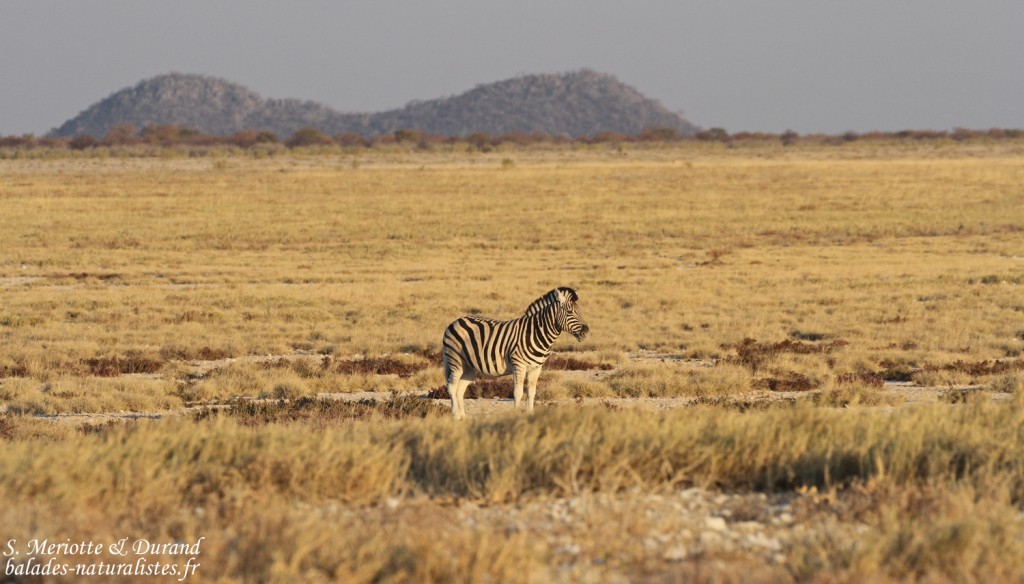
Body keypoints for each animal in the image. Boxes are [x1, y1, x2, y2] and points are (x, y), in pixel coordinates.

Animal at [442, 287, 589, 420]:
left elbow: (531, 392)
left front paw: (530, 415)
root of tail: (456, 321)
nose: (586, 331)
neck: (535, 333)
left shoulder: (536, 367)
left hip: (469, 367)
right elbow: (518, 393)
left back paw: (463, 417)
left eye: (580, 311)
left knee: (460, 390)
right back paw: (455, 416)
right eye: (570, 311)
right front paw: (516, 415)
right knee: (451, 386)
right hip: (456, 361)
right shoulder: (519, 365)